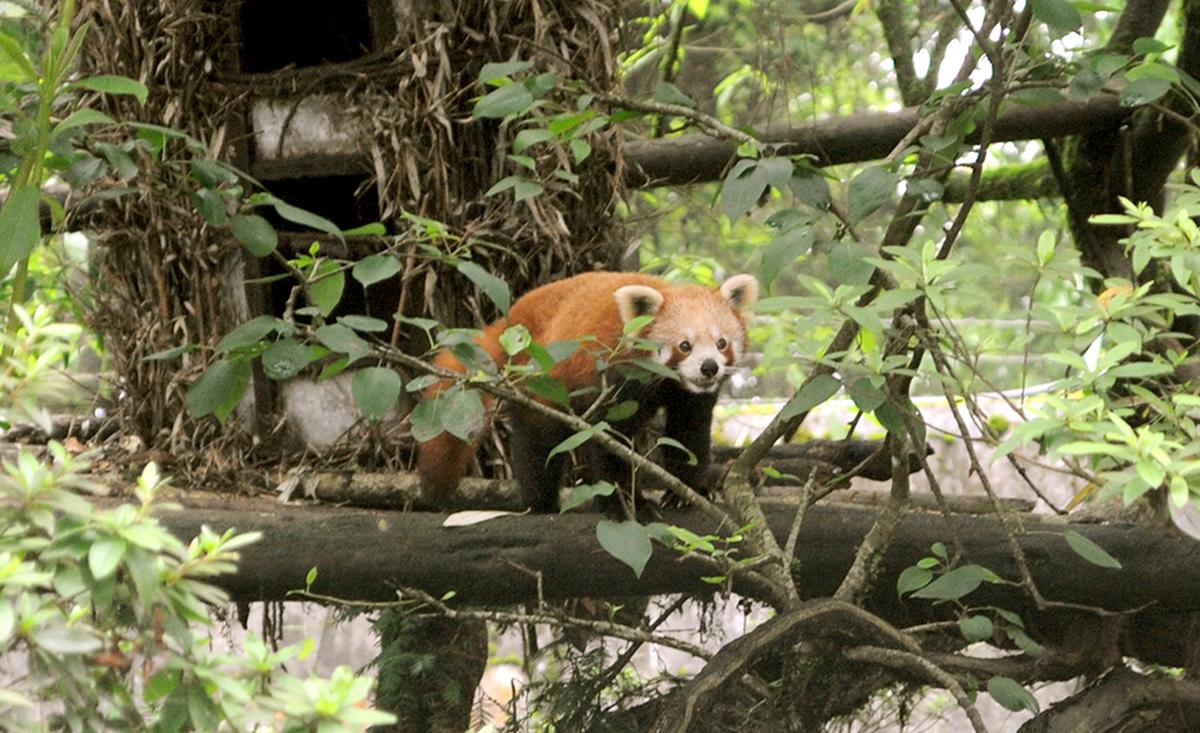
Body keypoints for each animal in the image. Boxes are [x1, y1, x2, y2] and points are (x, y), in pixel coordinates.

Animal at [417, 269, 758, 511]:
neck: (666, 381)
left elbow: (688, 434)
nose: (709, 367)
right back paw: (540, 502)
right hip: (539, 383)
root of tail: (511, 321)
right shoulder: (613, 380)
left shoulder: (689, 396)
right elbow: (608, 442)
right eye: (684, 346)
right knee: (537, 442)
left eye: (721, 343)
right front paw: (626, 505)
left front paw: (688, 491)